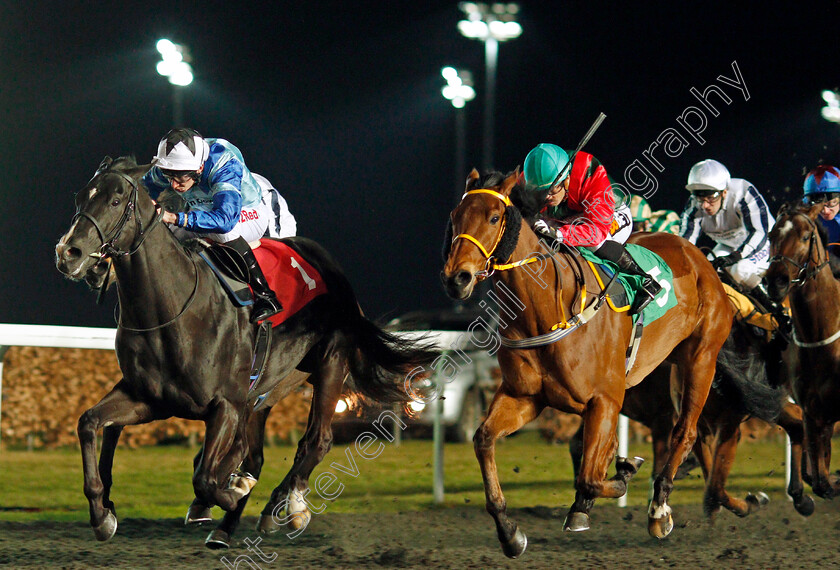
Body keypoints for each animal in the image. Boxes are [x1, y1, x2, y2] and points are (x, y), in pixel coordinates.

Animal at [53, 155, 440, 544]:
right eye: (79, 198)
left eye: (116, 201)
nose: (68, 252)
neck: (172, 310)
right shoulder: (150, 399)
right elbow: (90, 422)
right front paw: (102, 514)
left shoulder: (225, 405)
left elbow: (207, 476)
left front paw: (232, 490)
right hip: (269, 389)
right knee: (256, 454)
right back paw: (243, 519)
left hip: (331, 364)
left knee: (317, 440)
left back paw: (287, 506)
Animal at [442, 168, 732, 556]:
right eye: (455, 215)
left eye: (493, 217)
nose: (456, 278)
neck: (546, 310)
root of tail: (696, 254)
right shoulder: (525, 397)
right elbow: (484, 439)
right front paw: (510, 531)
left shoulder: (604, 400)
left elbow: (591, 477)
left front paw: (623, 475)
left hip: (701, 357)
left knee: (685, 431)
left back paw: (658, 509)